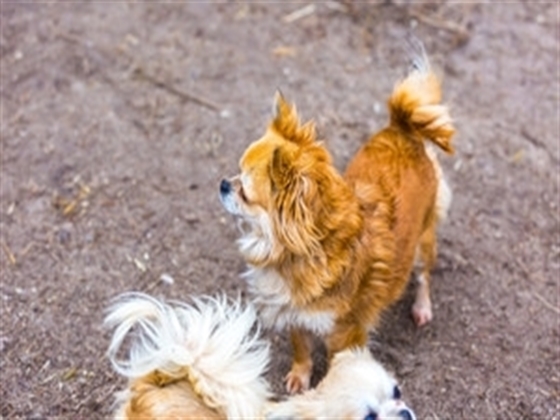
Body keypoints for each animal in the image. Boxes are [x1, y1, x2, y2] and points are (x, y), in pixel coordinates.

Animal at [220, 43, 456, 394]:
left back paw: (422, 307)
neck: (295, 253)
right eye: (235, 173)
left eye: (244, 192)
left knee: (424, 275)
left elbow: (338, 369)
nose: (223, 184)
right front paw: (299, 377)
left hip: (423, 240)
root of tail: (402, 129)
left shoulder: (345, 334)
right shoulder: (295, 314)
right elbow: (301, 349)